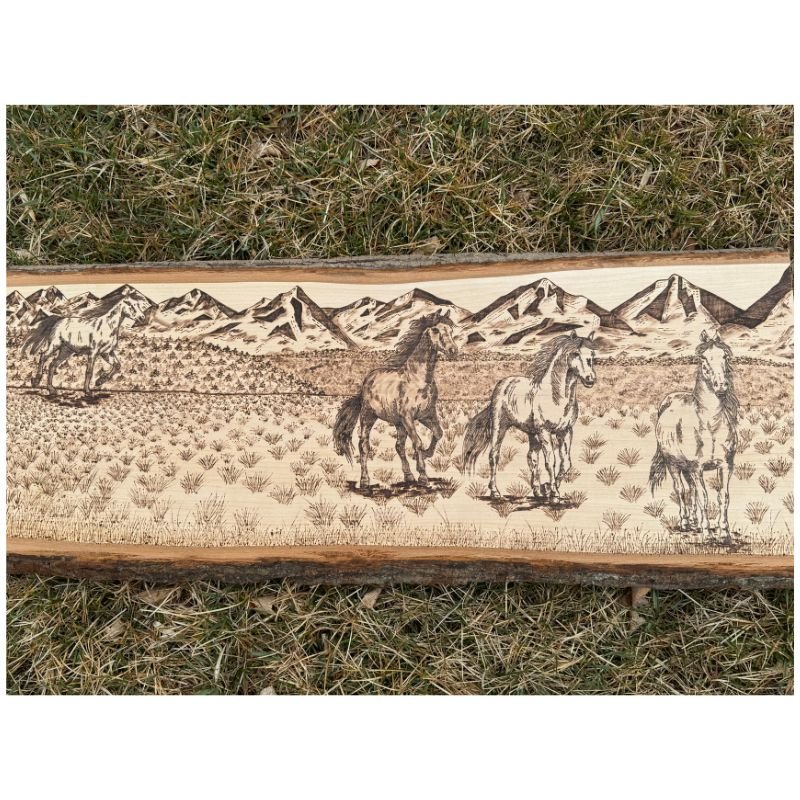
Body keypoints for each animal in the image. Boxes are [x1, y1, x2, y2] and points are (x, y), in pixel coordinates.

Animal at [333, 312, 459, 488]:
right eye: (435, 329)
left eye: (451, 330)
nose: (453, 350)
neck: (418, 380)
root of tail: (367, 380)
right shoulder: (408, 417)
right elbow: (418, 442)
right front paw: (423, 476)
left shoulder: (426, 415)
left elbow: (438, 433)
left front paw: (426, 455)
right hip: (368, 416)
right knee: (364, 445)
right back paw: (364, 480)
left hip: (399, 424)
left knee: (399, 446)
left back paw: (409, 476)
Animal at [463, 331, 597, 502]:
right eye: (576, 353)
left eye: (592, 355)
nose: (590, 378)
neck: (556, 397)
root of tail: (504, 383)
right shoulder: (545, 431)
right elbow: (550, 461)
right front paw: (553, 493)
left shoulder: (565, 431)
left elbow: (565, 463)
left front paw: (547, 488)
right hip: (500, 426)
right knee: (494, 456)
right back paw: (495, 492)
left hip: (532, 433)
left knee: (532, 458)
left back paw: (537, 490)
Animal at [649, 330, 738, 537]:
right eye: (703, 358)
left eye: (725, 356)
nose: (721, 385)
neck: (711, 426)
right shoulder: (697, 468)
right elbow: (703, 497)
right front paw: (707, 532)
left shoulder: (726, 465)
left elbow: (723, 496)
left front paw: (724, 531)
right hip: (673, 465)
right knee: (681, 490)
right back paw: (685, 522)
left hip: (686, 468)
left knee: (690, 490)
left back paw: (694, 522)